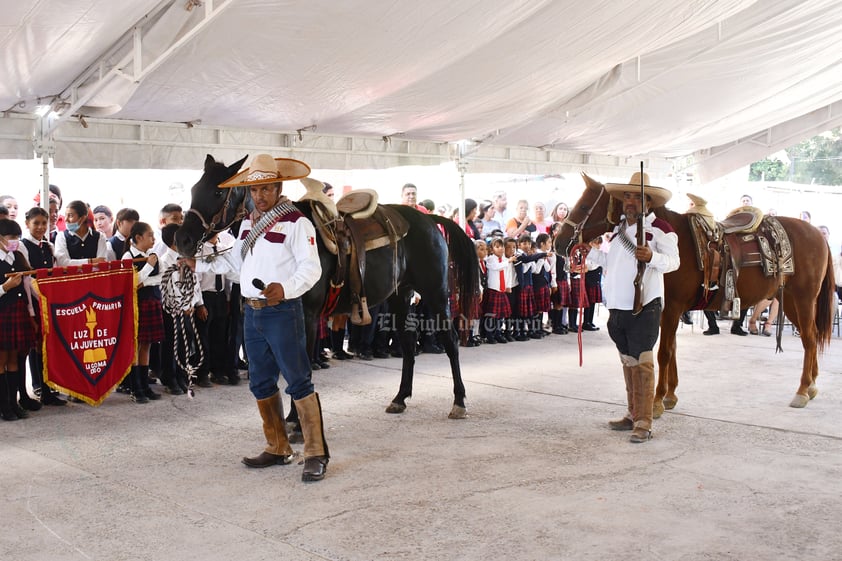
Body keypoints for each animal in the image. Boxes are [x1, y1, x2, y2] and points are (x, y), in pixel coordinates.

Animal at [176, 155, 480, 418]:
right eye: (194, 188)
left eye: (217, 193)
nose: (183, 239)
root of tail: (429, 220)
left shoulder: (307, 317)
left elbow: (300, 367)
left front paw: (295, 422)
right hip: (400, 295)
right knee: (407, 342)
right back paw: (400, 398)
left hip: (436, 293)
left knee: (451, 340)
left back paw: (459, 401)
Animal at [556, 173, 836, 414]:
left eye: (583, 206)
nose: (559, 243)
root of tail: (818, 235)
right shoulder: (669, 310)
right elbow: (672, 349)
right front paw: (670, 396)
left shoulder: (671, 309)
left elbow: (664, 353)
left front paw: (656, 401)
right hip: (789, 301)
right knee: (810, 337)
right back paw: (811, 386)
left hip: (803, 299)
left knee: (810, 339)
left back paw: (802, 391)